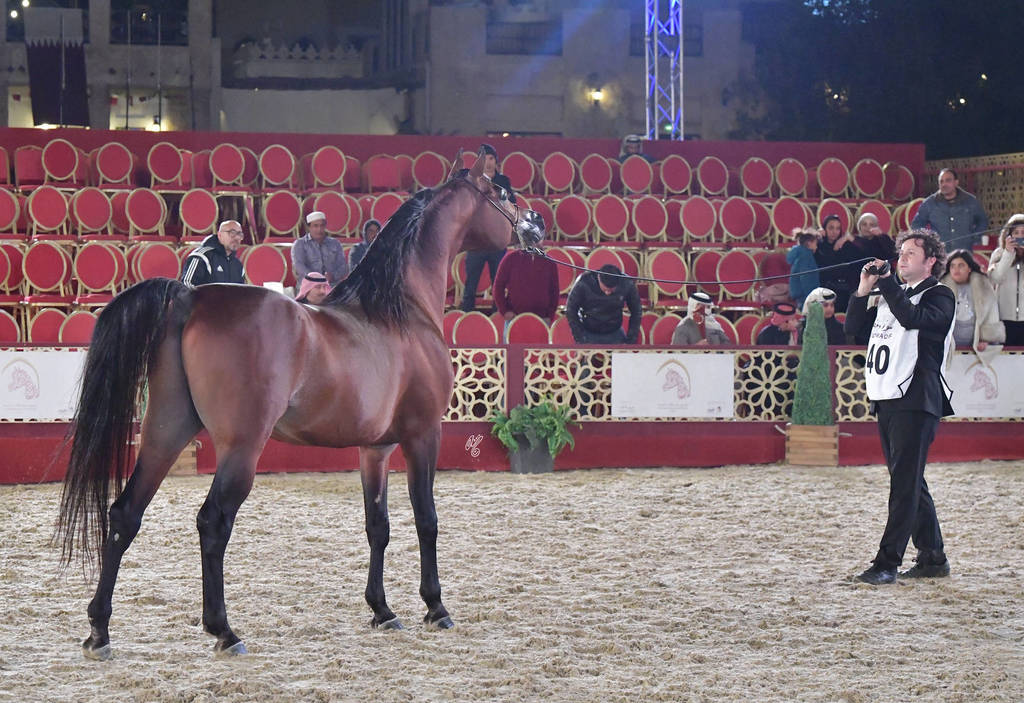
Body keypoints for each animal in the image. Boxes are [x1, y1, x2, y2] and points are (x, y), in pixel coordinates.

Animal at [55, 149, 546, 659]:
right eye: (505, 194)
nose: (537, 224)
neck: (401, 311)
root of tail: (189, 297)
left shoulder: (376, 449)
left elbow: (378, 525)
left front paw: (382, 610)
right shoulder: (422, 435)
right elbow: (426, 520)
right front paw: (435, 607)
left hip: (165, 431)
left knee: (124, 514)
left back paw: (99, 631)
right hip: (241, 446)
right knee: (213, 522)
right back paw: (224, 631)